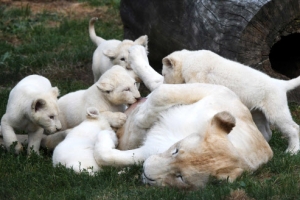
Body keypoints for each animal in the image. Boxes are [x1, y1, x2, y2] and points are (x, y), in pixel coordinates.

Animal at [92, 45, 274, 189]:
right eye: (176, 151)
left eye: (180, 178)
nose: (146, 171)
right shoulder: (219, 91)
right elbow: (163, 94)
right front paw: (140, 118)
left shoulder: (150, 149)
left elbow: (107, 156)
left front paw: (108, 134)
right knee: (160, 82)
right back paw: (137, 51)